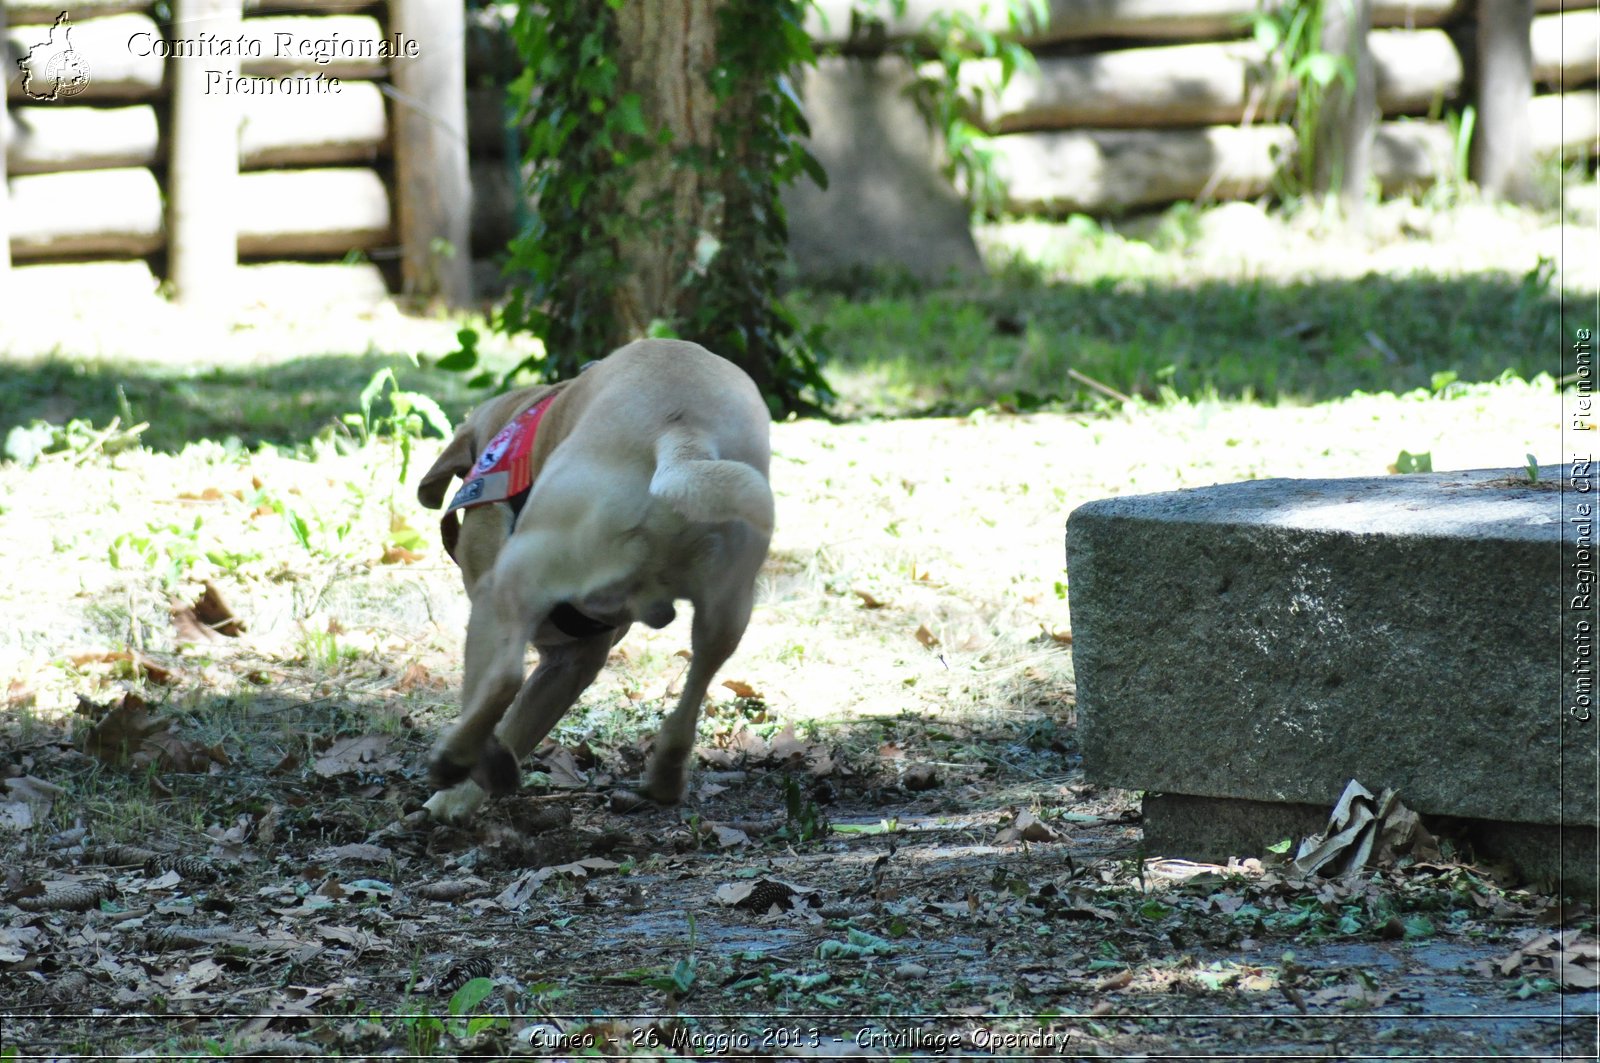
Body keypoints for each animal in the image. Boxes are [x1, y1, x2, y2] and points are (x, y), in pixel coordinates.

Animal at [416, 340, 771, 819]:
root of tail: (682, 435)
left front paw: (456, 790)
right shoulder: (577, 656)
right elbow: (521, 721)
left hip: (510, 582)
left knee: (502, 680)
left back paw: (459, 758)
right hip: (729, 607)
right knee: (696, 686)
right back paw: (665, 776)